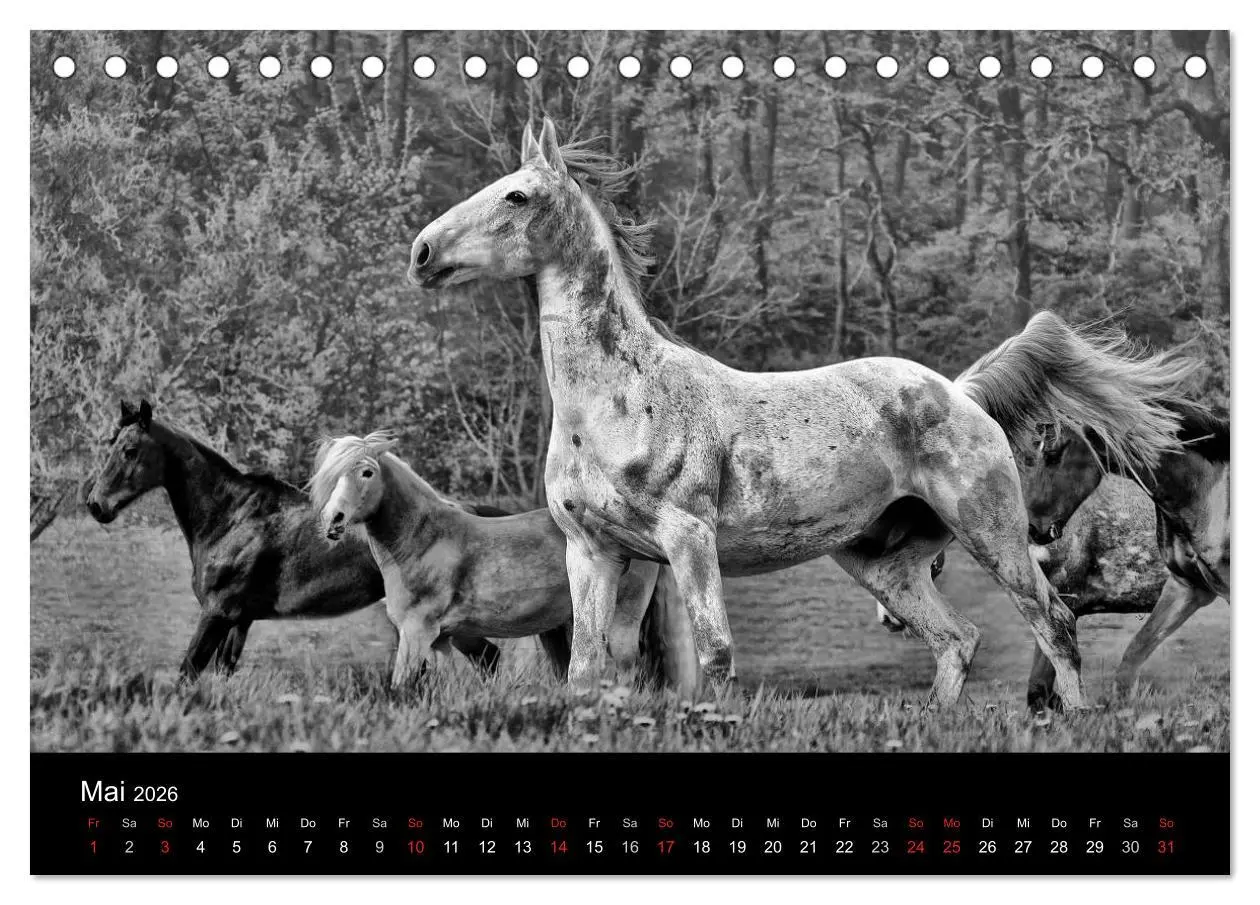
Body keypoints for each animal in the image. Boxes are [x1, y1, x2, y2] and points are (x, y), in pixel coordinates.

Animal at [83, 401, 537, 679]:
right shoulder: (239, 620)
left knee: (487, 659)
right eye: (111, 444)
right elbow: (221, 673)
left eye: (129, 450)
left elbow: (188, 673)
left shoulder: (217, 613)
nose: (96, 505)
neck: (231, 516)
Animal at [308, 431, 697, 691]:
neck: (425, 541)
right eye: (331, 475)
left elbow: (401, 686)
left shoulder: (417, 632)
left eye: (367, 472)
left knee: (627, 669)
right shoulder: (441, 640)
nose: (334, 521)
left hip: (621, 622)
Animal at [408, 117, 1197, 708]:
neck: (617, 401)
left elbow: (716, 655)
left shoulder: (689, 539)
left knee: (1052, 622)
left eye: (516, 196)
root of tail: (961, 394)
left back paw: (1077, 715)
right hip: (884, 564)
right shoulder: (594, 551)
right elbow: (586, 669)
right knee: (958, 638)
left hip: (992, 531)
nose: (421, 252)